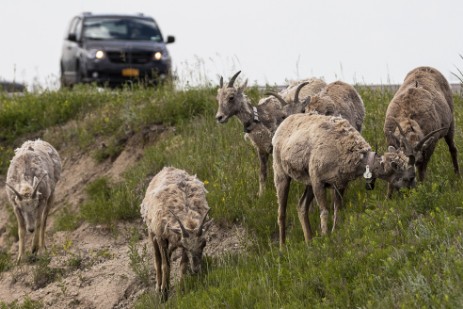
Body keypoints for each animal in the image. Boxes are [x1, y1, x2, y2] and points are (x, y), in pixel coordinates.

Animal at [140, 167, 213, 300]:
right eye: (187, 247)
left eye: (204, 244)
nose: (196, 269)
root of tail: (167, 168)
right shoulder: (162, 238)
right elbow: (165, 265)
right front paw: (163, 294)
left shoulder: (180, 241)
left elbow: (183, 265)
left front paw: (182, 290)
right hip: (152, 232)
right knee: (157, 259)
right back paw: (159, 286)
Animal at [272, 112, 420, 247]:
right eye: (409, 177)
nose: (414, 195)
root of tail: (281, 126)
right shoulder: (318, 182)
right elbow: (324, 212)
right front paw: (325, 237)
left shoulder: (339, 185)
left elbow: (337, 210)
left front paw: (333, 233)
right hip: (281, 175)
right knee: (281, 213)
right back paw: (282, 247)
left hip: (308, 185)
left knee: (301, 206)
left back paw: (309, 241)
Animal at [384, 65, 460, 195]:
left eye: (417, 161)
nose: (408, 186)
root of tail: (427, 67)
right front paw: (389, 196)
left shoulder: (430, 146)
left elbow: (422, 171)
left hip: (450, 126)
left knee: (453, 149)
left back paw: (458, 176)